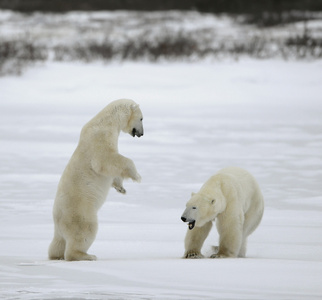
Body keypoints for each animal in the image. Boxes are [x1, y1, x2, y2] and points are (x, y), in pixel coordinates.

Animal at [48, 99, 143, 262]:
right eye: (142, 118)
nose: (141, 133)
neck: (107, 121)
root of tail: (58, 221)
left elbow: (113, 168)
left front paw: (121, 188)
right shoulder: (101, 137)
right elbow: (107, 160)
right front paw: (137, 176)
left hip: (60, 227)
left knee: (57, 243)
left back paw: (56, 255)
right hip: (80, 212)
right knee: (85, 231)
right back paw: (87, 255)